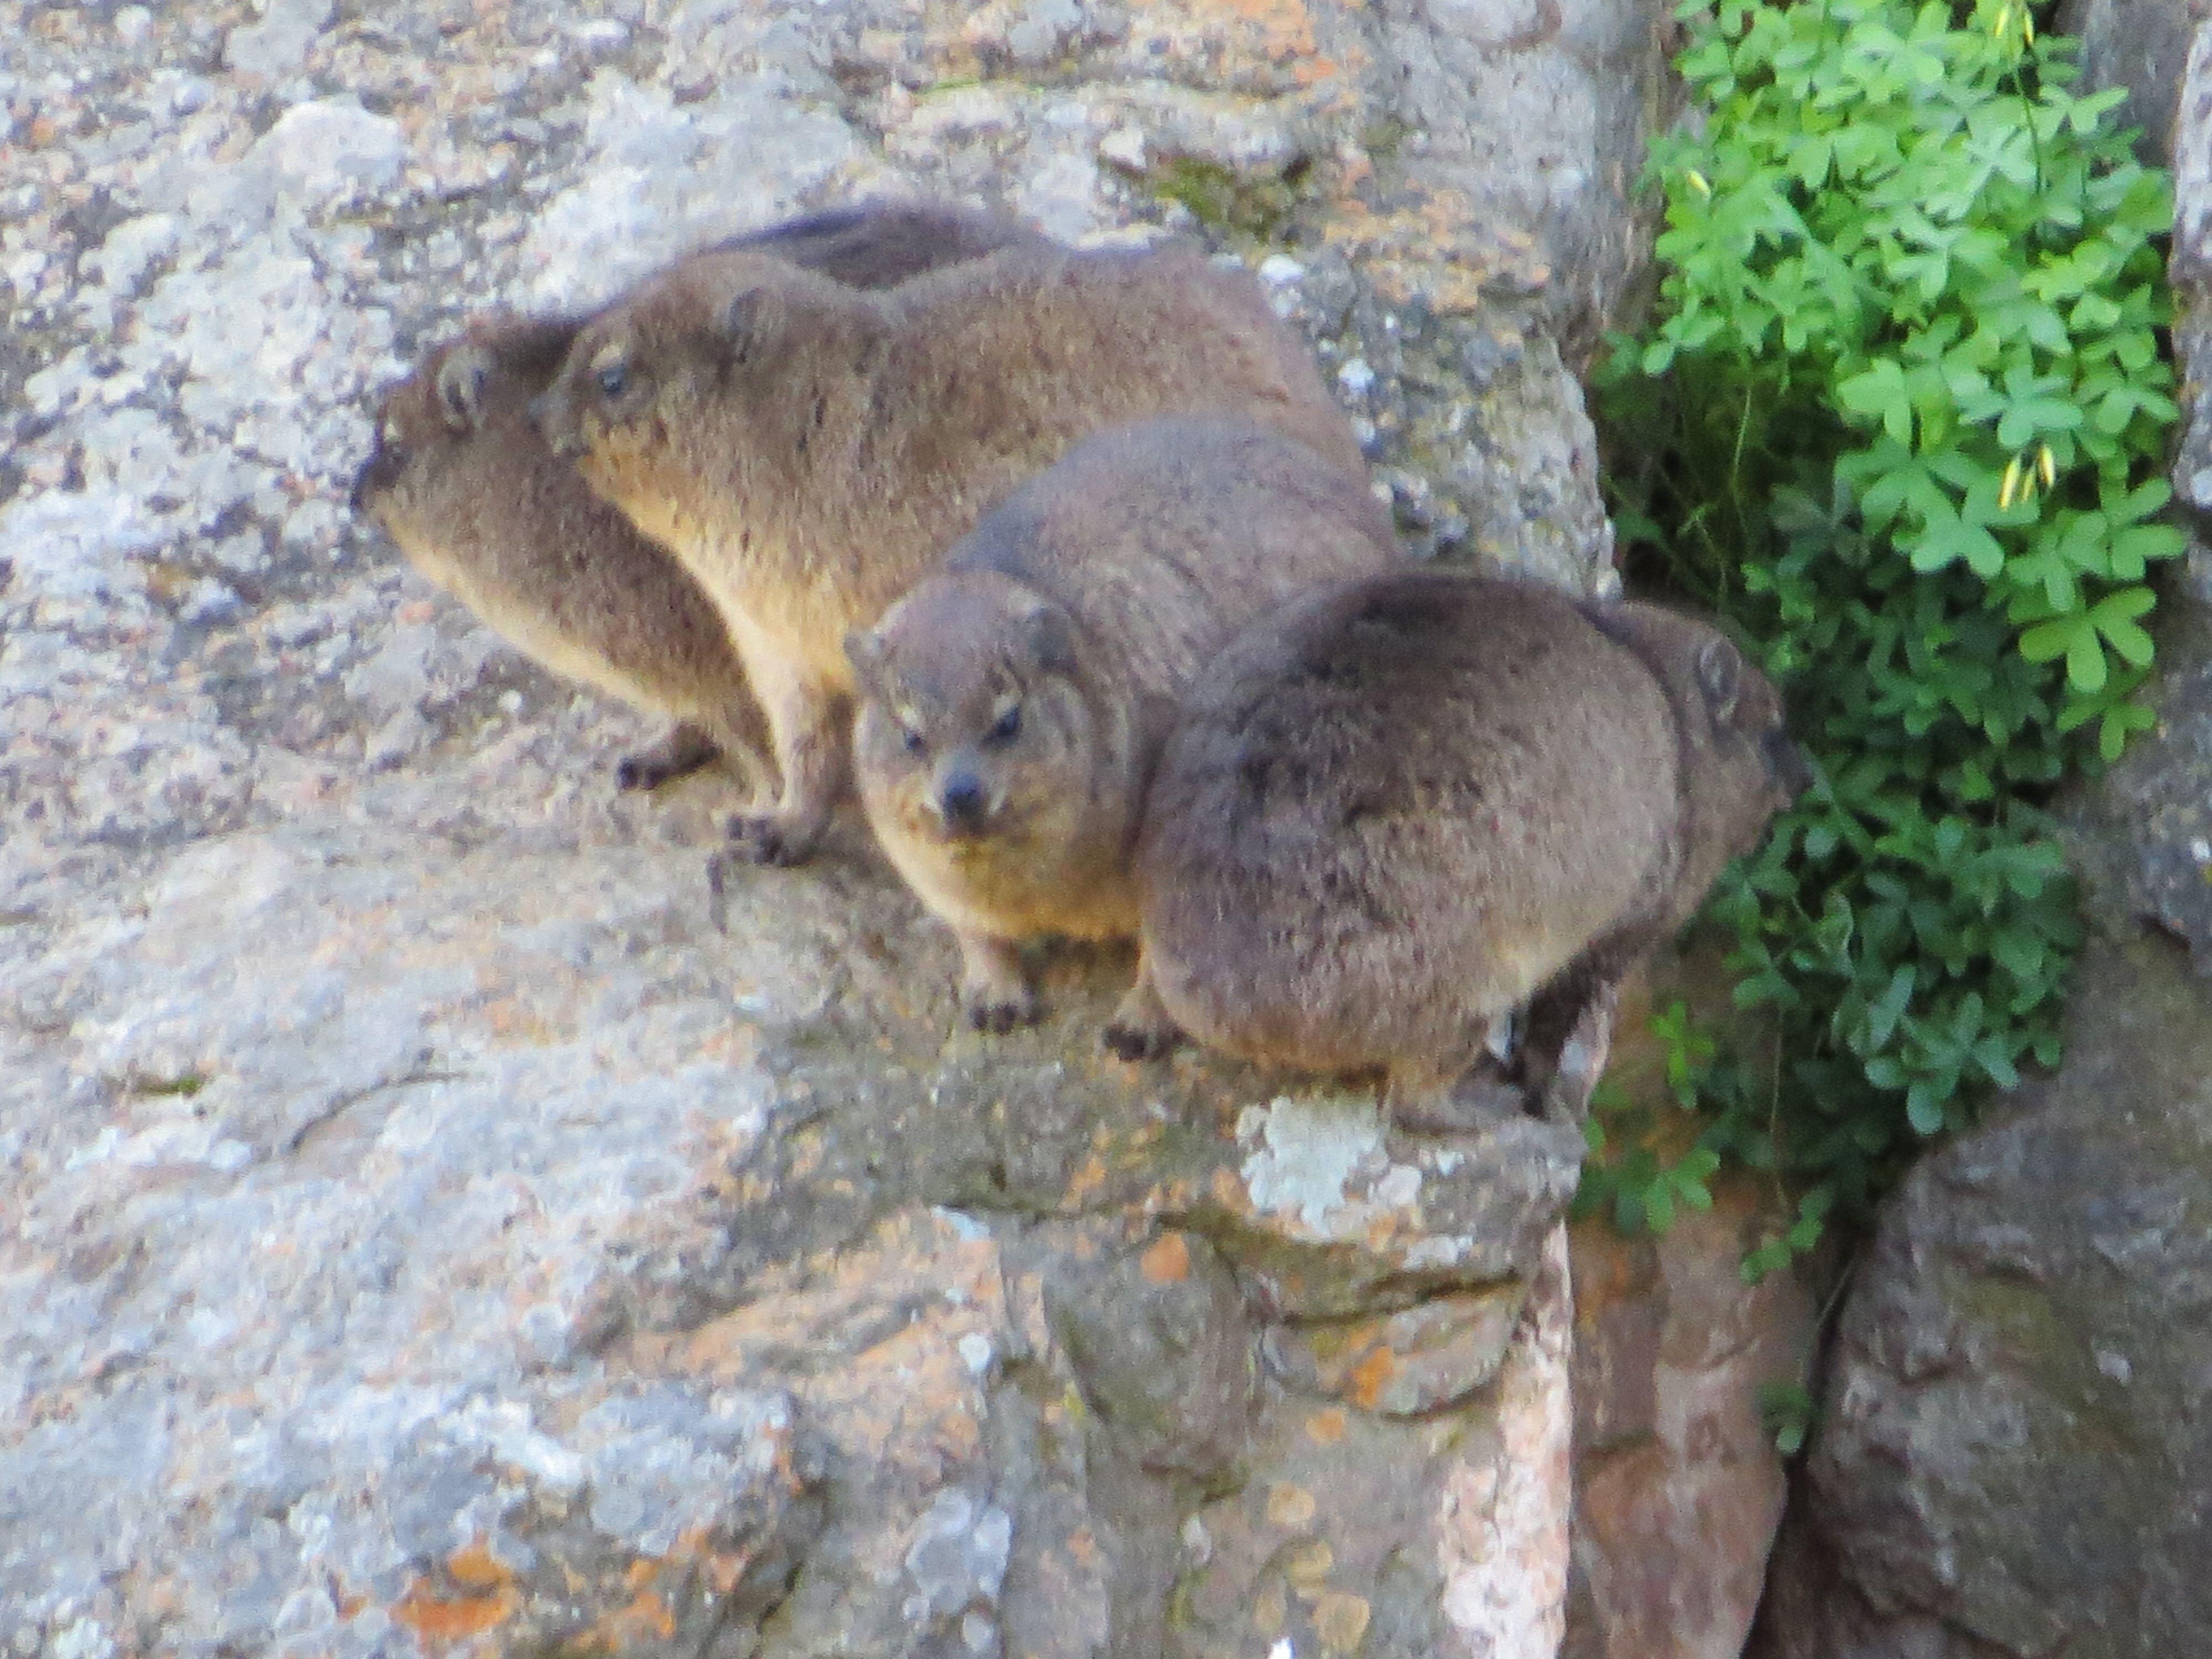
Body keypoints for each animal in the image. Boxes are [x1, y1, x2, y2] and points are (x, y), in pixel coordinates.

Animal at [845, 417, 1400, 1031]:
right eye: (910, 736)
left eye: (1009, 721)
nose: (961, 793)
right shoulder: (938, 885)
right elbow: (978, 938)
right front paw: (995, 996)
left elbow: (1168, 960)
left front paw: (1139, 1024)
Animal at [1115, 570, 1810, 1121]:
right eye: (1773, 729)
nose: (1808, 775)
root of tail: (1209, 1000)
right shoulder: (1622, 925)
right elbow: (1551, 1029)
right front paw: (1543, 1102)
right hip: (1467, 982)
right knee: (1412, 1103)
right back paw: (1477, 1107)